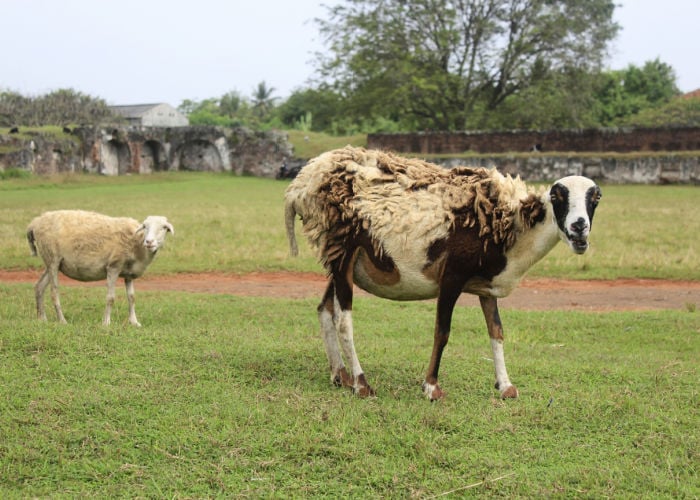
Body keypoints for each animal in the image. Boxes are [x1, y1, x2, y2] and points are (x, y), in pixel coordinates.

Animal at [27, 209, 175, 326]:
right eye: (145, 226)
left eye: (164, 227)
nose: (149, 242)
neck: (137, 244)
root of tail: (35, 222)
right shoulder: (113, 267)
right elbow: (110, 297)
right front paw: (106, 322)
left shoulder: (128, 274)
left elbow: (132, 297)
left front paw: (134, 322)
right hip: (53, 258)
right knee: (54, 292)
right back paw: (62, 321)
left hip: (52, 262)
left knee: (39, 287)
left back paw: (42, 319)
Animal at [284, 146, 600, 400]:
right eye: (557, 196)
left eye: (595, 199)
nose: (579, 227)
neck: (510, 223)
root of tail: (301, 184)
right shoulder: (452, 278)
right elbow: (442, 332)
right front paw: (431, 388)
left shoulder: (486, 286)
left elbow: (496, 331)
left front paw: (506, 386)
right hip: (343, 250)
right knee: (343, 320)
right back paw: (361, 384)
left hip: (339, 259)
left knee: (325, 310)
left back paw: (340, 375)